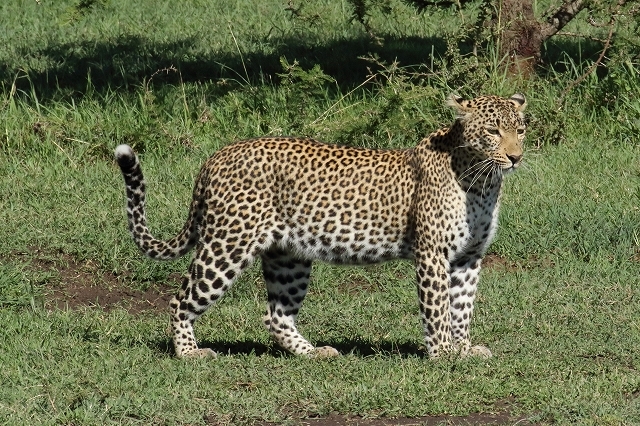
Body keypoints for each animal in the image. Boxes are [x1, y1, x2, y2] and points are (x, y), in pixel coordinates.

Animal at [115, 92, 524, 360]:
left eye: (519, 129)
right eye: (492, 131)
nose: (516, 157)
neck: (481, 182)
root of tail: (215, 156)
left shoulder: (468, 257)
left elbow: (462, 307)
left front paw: (465, 349)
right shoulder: (433, 255)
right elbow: (438, 308)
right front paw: (443, 354)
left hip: (288, 256)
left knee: (275, 315)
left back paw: (312, 353)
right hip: (227, 246)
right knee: (180, 299)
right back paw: (190, 354)